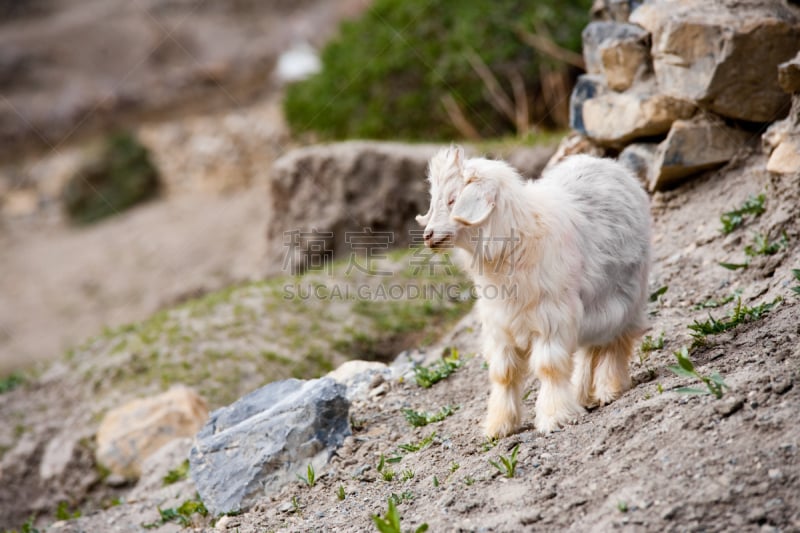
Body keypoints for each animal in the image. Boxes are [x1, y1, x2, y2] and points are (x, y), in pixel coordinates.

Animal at [418, 145, 648, 436]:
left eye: (452, 199)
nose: (428, 235)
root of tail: (609, 165)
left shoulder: (552, 317)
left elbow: (549, 366)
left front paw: (555, 417)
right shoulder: (500, 324)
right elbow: (503, 374)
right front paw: (499, 426)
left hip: (623, 298)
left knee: (614, 342)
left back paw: (609, 389)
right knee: (589, 349)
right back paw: (582, 394)